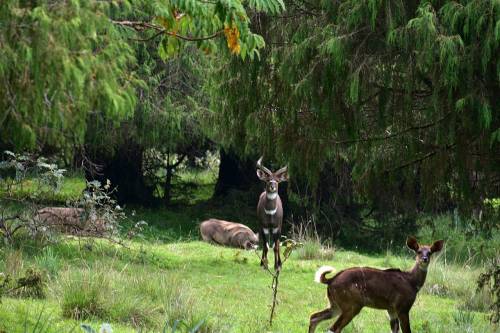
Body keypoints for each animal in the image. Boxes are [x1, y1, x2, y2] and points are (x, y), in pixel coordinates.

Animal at [308, 236, 446, 332]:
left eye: (430, 252)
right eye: (418, 251)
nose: (425, 259)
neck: (411, 281)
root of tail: (330, 280)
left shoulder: (391, 310)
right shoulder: (403, 307)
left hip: (335, 305)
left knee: (314, 317)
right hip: (352, 305)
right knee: (333, 328)